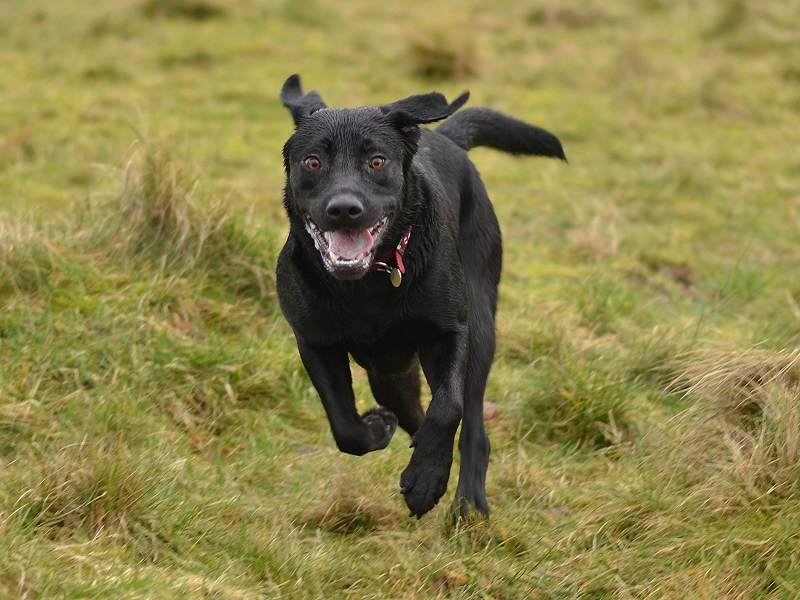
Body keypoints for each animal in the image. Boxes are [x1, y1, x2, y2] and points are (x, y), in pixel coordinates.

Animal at [278, 74, 564, 516]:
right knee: (412, 412)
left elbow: (448, 407)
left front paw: (427, 479)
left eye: (377, 162)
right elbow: (345, 425)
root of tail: (444, 137)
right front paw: (378, 430)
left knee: (471, 423)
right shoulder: (315, 342)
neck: (369, 284)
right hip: (389, 371)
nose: (344, 208)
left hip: (480, 328)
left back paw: (468, 500)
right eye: (313, 162)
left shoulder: (449, 332)